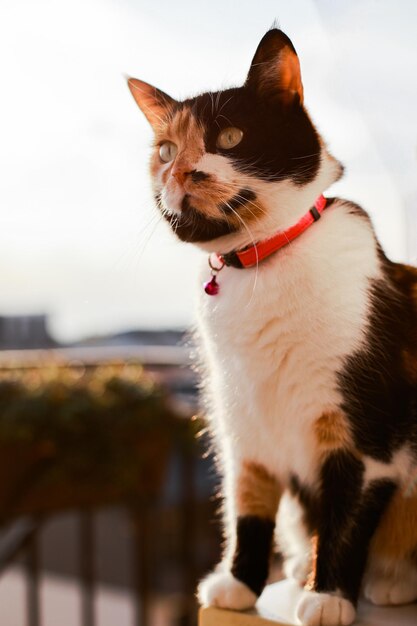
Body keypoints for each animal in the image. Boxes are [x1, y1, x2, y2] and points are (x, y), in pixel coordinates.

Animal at [126, 26, 416, 620]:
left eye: (231, 137)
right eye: (165, 150)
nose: (181, 171)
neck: (258, 264)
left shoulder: (364, 434)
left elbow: (343, 515)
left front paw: (328, 596)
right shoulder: (242, 423)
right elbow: (249, 506)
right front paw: (239, 584)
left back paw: (391, 578)